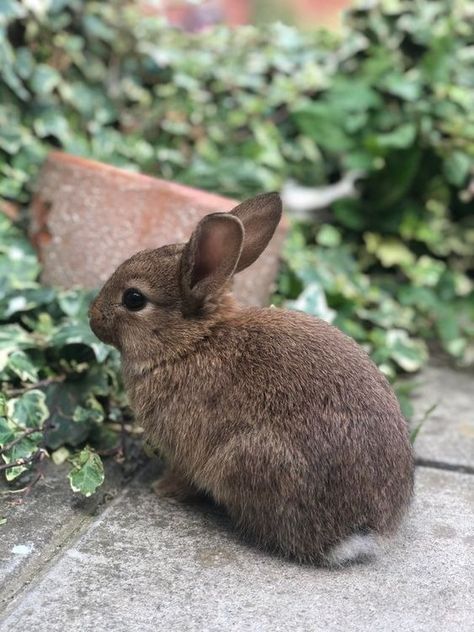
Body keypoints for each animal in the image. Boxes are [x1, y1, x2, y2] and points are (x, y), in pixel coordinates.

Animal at [90, 194, 414, 568]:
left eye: (134, 299)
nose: (92, 318)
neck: (190, 343)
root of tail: (356, 534)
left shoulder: (185, 451)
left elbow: (183, 477)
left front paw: (162, 490)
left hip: (246, 460)